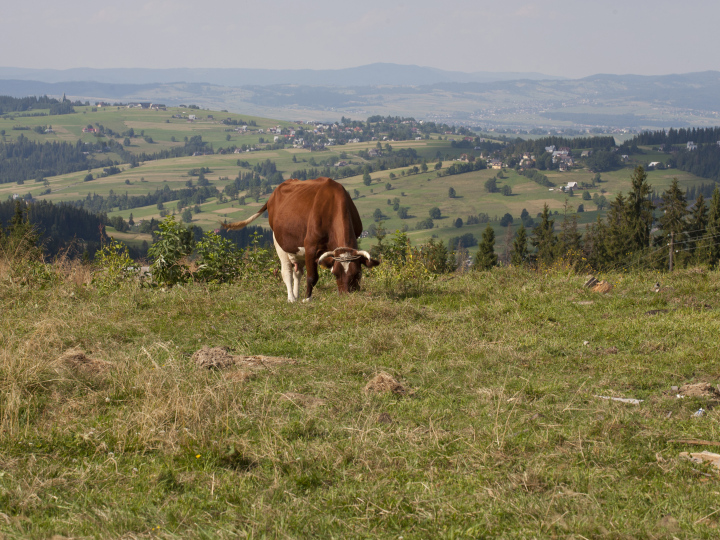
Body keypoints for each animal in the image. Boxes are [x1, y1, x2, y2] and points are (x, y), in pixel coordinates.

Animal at [221, 179, 380, 302]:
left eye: (358, 273)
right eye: (335, 274)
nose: (347, 296)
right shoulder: (310, 246)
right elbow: (312, 276)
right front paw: (307, 298)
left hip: (297, 251)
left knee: (297, 272)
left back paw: (296, 295)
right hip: (279, 242)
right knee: (286, 272)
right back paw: (291, 298)